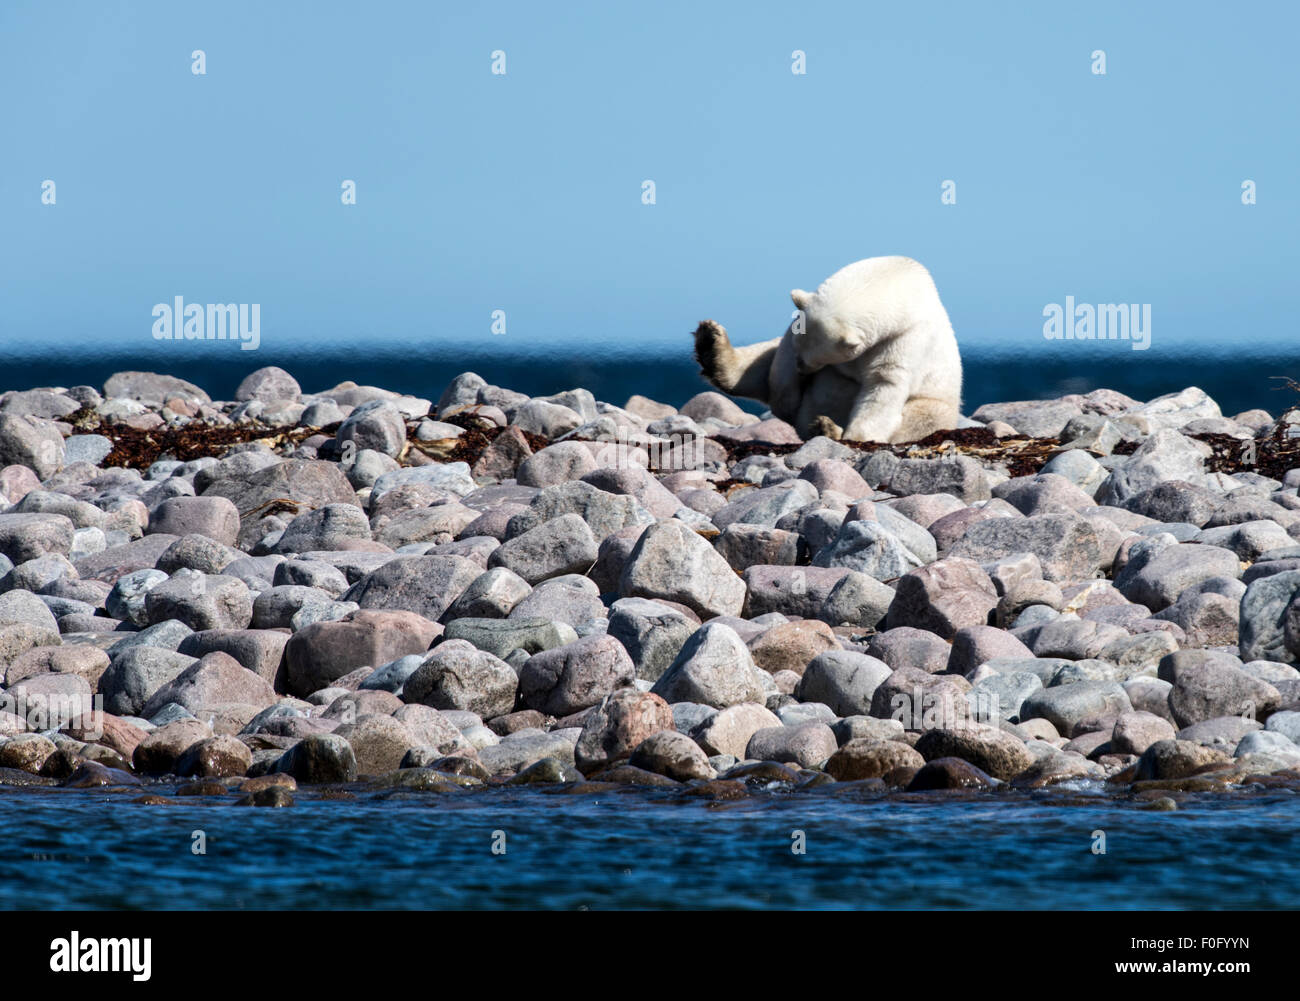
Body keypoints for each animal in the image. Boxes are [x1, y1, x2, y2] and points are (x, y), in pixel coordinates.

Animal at [696, 257, 961, 441]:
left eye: (815, 360)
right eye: (799, 352)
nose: (802, 370)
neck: (895, 276)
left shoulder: (906, 338)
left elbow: (884, 384)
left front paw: (854, 437)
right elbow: (779, 354)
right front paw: (786, 401)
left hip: (939, 406)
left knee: (925, 416)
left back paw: (827, 428)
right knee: (760, 360)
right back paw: (711, 345)